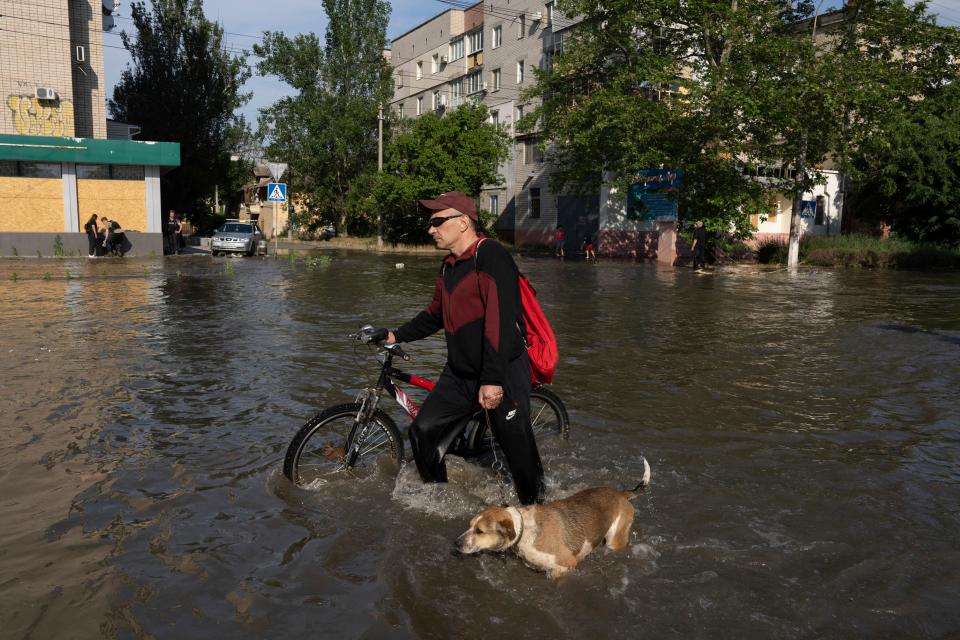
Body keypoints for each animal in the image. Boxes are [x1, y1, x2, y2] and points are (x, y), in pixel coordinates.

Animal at [458, 458, 652, 576]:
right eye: (470, 525)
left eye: (479, 531)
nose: (456, 543)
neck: (524, 529)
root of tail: (621, 494)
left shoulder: (567, 564)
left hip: (615, 540)